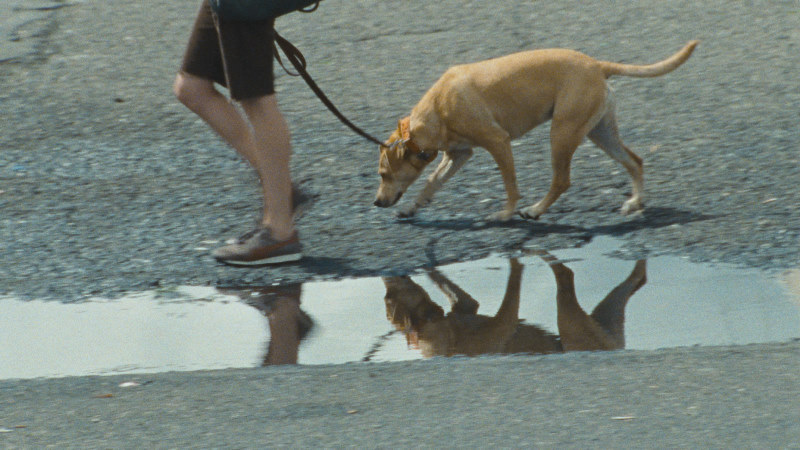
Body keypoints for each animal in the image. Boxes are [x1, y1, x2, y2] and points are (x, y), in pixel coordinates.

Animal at [372, 40, 696, 220]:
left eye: (383, 174)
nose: (376, 202)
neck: (437, 109)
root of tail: (597, 65)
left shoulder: (498, 142)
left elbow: (511, 186)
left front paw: (505, 214)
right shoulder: (458, 154)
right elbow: (432, 182)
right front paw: (413, 207)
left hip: (562, 132)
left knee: (562, 180)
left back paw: (536, 210)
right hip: (599, 133)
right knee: (635, 161)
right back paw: (635, 201)